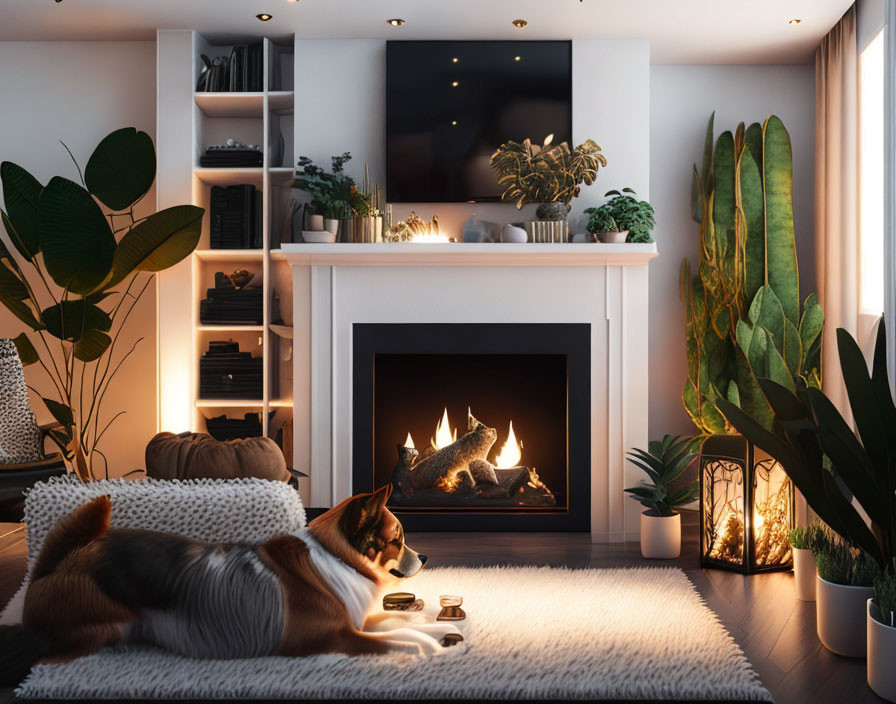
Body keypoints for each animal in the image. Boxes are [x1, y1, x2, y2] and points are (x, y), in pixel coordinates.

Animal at [0, 484, 458, 680]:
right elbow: (398, 639)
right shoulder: (335, 637)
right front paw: (429, 646)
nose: (426, 557)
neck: (338, 557)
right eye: (397, 540)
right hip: (104, 622)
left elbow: (401, 622)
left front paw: (443, 630)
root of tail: (57, 564)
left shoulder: (357, 620)